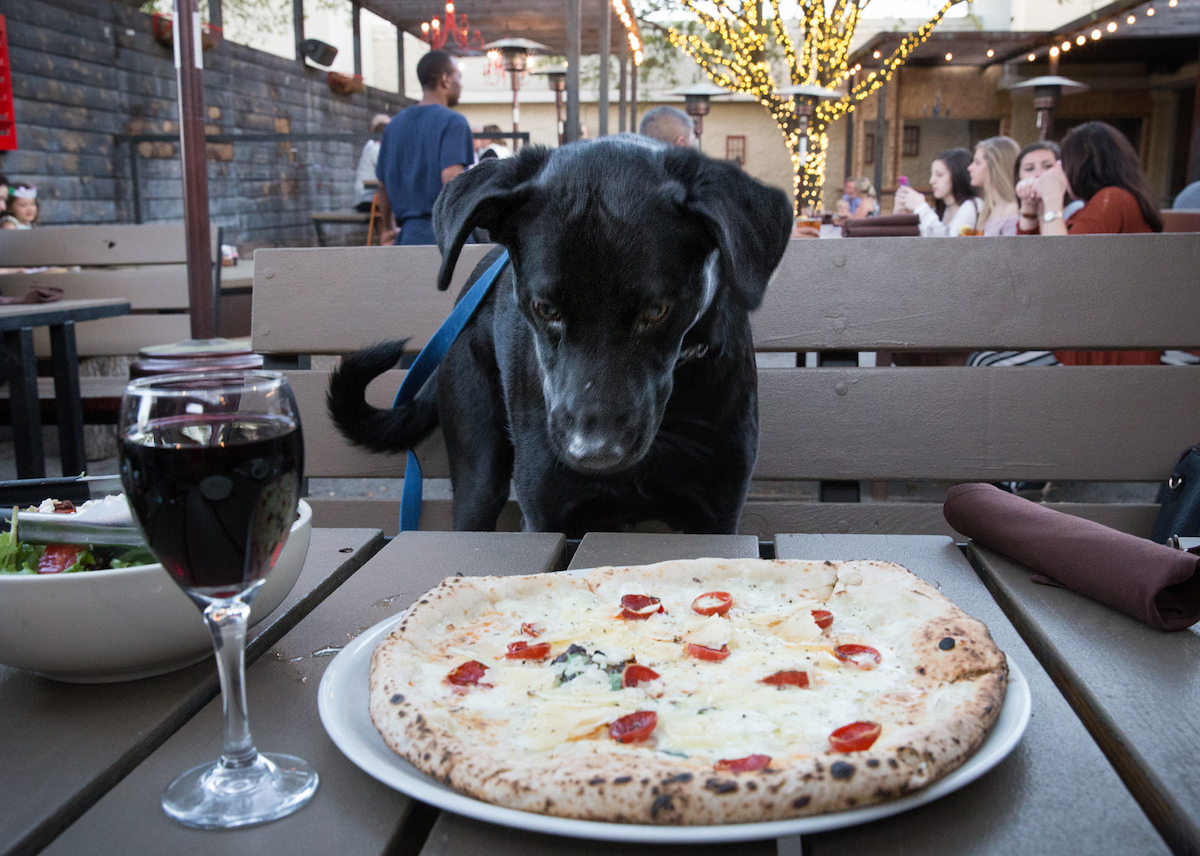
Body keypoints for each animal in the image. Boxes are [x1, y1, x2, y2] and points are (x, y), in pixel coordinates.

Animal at [331, 135, 796, 533]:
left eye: (656, 311)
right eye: (546, 309)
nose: (593, 453)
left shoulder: (716, 512)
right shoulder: (548, 515)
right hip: (478, 474)